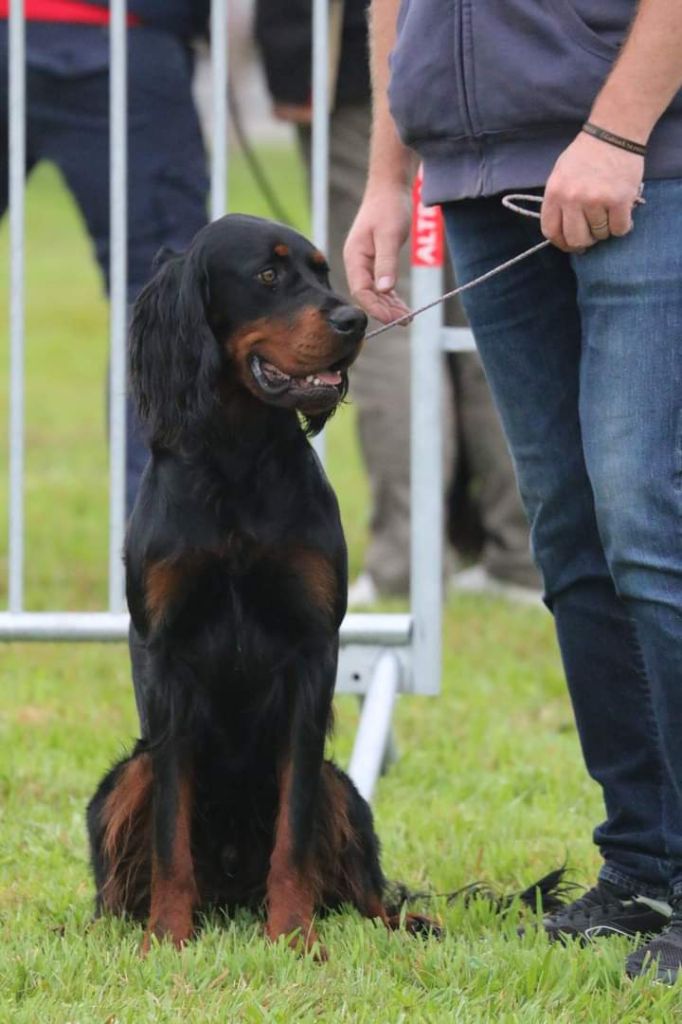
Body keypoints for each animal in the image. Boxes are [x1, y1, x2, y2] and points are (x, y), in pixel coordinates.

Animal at [86, 211, 436, 954]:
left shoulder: (313, 649)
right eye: (269, 275)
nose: (355, 319)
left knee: (367, 891)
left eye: (324, 271)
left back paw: (406, 923)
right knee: (116, 880)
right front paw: (166, 936)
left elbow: (294, 829)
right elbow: (169, 831)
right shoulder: (163, 653)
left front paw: (295, 935)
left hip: (343, 789)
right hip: (125, 777)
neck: (236, 458)